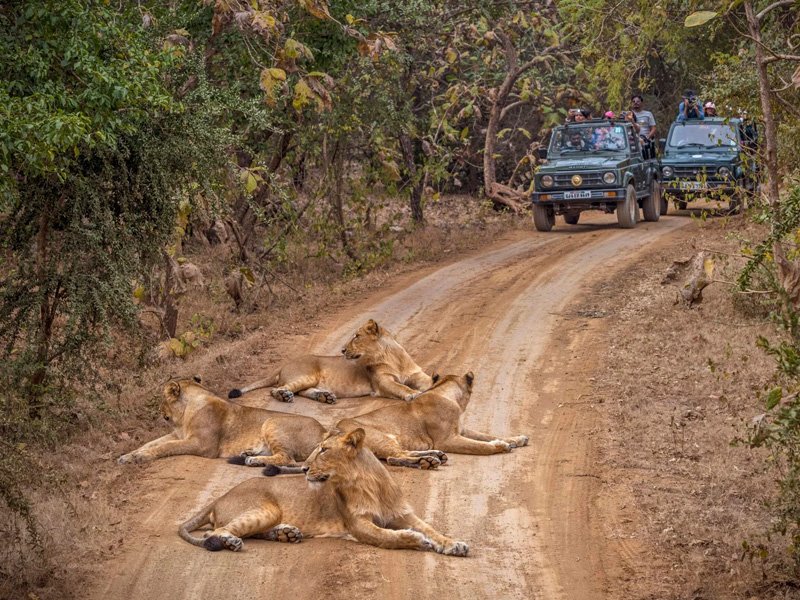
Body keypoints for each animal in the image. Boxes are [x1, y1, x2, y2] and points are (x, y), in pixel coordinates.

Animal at [116, 378, 324, 466]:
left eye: (162, 399)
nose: (159, 411)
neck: (185, 416)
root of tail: (324, 431)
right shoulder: (177, 434)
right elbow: (150, 443)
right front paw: (128, 456)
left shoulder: (202, 445)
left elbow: (165, 447)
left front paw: (140, 458)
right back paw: (248, 453)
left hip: (272, 421)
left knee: (286, 458)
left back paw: (253, 460)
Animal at [178, 428, 468, 556]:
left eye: (324, 450)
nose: (305, 467)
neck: (367, 483)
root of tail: (219, 497)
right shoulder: (358, 525)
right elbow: (389, 537)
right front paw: (417, 540)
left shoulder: (404, 514)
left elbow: (432, 529)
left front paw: (453, 544)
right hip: (264, 509)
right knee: (214, 533)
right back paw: (231, 542)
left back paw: (286, 534)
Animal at [228, 318, 434, 404]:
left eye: (356, 336)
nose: (342, 350)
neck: (392, 357)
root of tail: (283, 365)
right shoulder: (382, 382)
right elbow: (401, 387)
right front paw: (413, 394)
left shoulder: (416, 374)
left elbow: (429, 380)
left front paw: (434, 385)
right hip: (306, 375)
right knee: (277, 389)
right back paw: (285, 396)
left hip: (309, 381)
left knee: (301, 391)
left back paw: (324, 397)